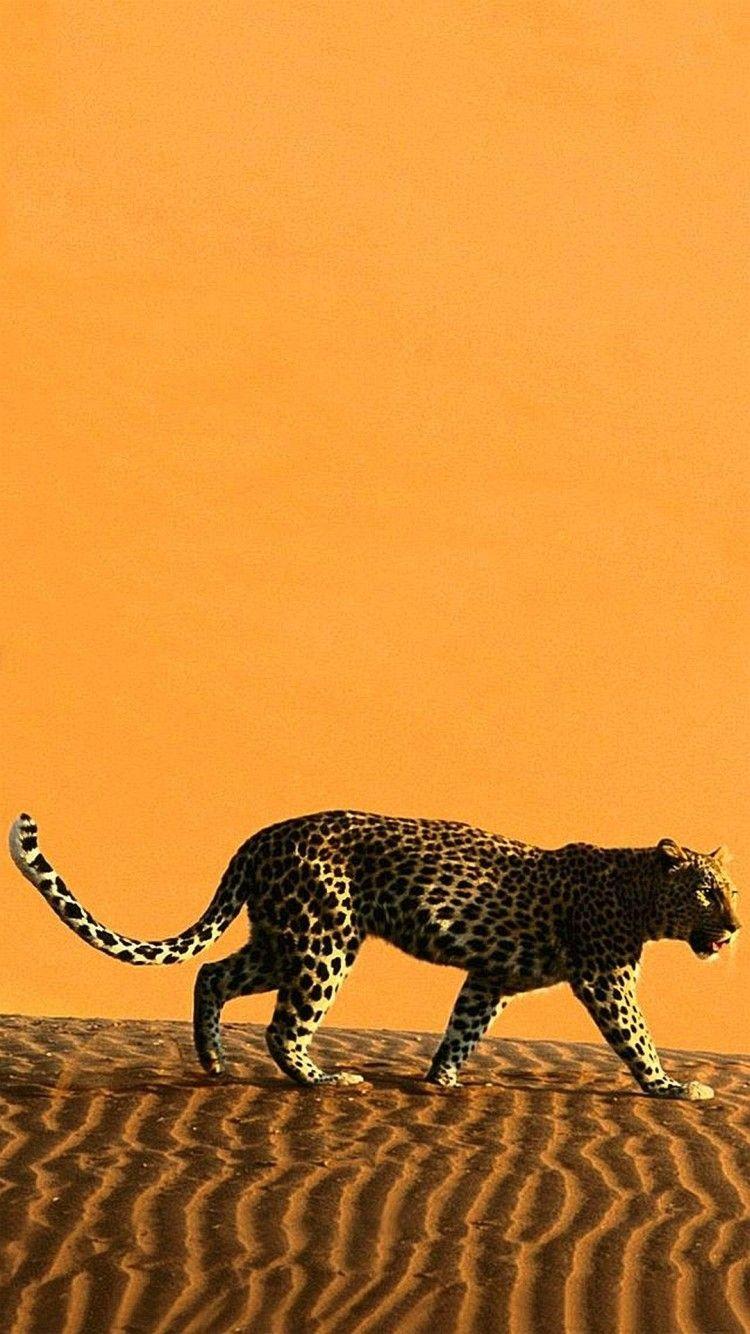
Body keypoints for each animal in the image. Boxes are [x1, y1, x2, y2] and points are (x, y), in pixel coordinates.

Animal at [9, 809, 740, 1098]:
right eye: (708, 892)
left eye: (731, 890)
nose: (734, 928)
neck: (641, 895)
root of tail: (258, 837)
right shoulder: (605, 977)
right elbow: (636, 1036)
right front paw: (671, 1087)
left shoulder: (492, 975)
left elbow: (463, 1027)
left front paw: (441, 1081)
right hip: (324, 942)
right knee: (283, 1026)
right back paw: (325, 1079)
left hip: (282, 939)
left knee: (212, 974)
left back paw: (214, 1064)